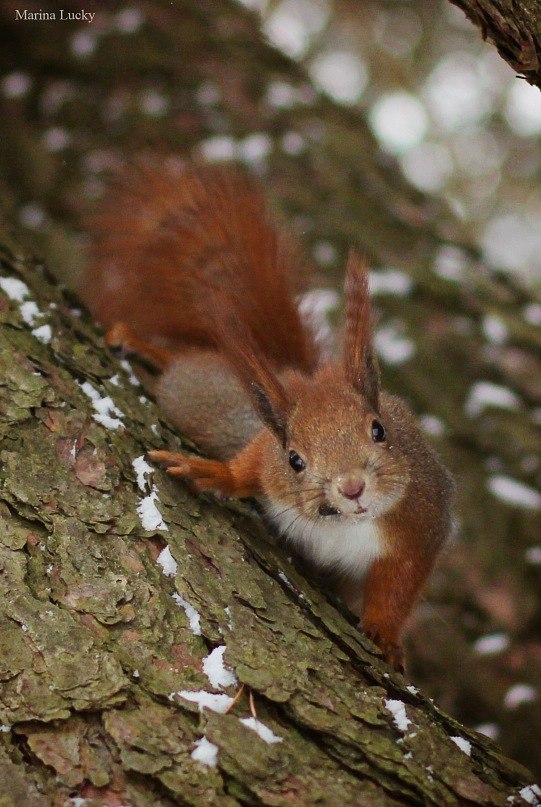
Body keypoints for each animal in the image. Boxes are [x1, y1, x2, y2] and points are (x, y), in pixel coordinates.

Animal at [83, 159, 455, 673]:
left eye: (379, 431)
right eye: (295, 459)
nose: (352, 487)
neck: (345, 524)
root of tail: (290, 373)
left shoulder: (420, 524)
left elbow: (398, 588)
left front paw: (384, 634)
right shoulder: (267, 455)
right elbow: (252, 464)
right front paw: (214, 472)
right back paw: (140, 344)